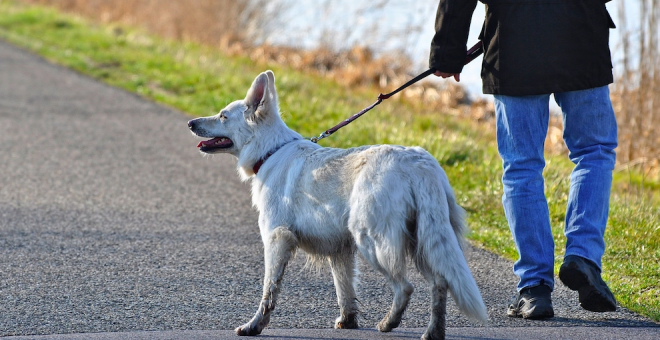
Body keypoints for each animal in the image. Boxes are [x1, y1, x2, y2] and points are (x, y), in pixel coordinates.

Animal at [188, 70, 488, 338]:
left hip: (372, 241)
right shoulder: (340, 250)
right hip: (423, 240)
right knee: (440, 283)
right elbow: (345, 290)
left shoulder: (277, 239)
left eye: (223, 116)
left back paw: (389, 323)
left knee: (405, 287)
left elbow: (269, 290)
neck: (270, 151)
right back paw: (433, 331)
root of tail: (419, 163)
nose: (190, 123)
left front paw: (254, 326)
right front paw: (348, 321)